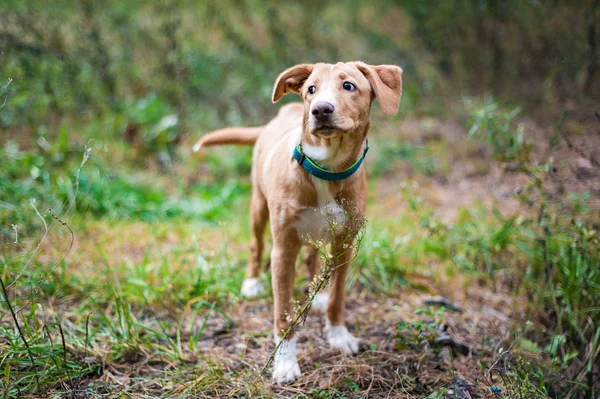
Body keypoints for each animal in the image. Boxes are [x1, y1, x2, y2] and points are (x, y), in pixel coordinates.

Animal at [193, 62, 404, 384]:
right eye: (311, 90)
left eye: (349, 86)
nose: (320, 110)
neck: (327, 168)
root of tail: (281, 114)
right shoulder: (282, 249)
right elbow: (283, 314)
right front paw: (284, 363)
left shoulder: (344, 244)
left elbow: (337, 298)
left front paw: (339, 336)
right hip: (259, 208)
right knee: (256, 245)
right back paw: (252, 282)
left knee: (313, 258)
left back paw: (315, 292)